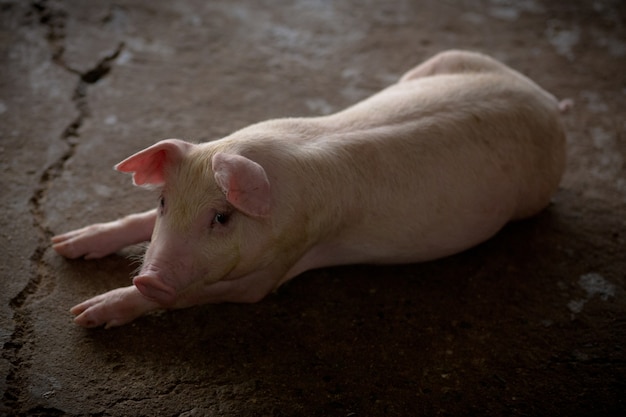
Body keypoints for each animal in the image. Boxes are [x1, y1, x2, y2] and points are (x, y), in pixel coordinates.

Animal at [50, 49, 564, 328]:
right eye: (162, 202)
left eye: (222, 217)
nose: (148, 276)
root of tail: (547, 100)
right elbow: (135, 222)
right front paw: (65, 245)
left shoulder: (271, 272)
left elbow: (198, 296)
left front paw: (84, 315)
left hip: (533, 196)